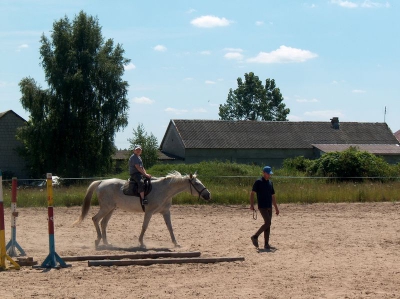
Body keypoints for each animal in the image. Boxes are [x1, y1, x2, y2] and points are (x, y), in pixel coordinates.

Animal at [75, 172, 212, 250]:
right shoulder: (149, 212)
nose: (208, 195)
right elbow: (144, 227)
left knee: (103, 223)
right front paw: (141, 243)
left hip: (111, 209)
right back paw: (98, 241)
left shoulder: (166, 212)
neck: (163, 190)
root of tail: (101, 182)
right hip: (106, 208)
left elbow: (170, 228)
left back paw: (107, 243)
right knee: (95, 219)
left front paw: (176, 243)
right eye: (197, 184)